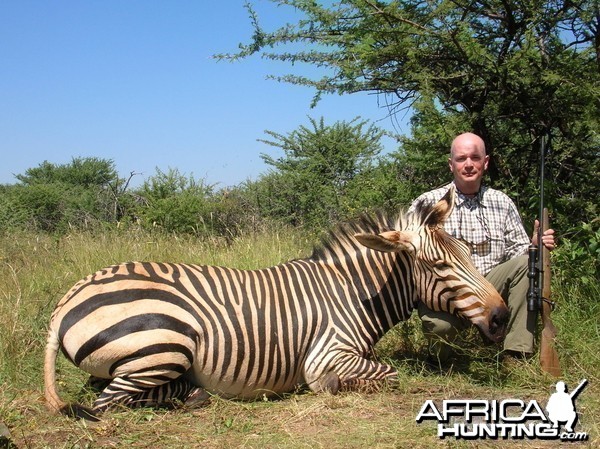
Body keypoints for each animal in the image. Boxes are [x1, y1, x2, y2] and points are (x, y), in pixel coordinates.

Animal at [44, 185, 508, 416]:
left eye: (469, 253)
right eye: (439, 266)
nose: (502, 316)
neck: (352, 294)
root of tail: (68, 298)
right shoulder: (327, 354)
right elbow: (386, 375)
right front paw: (330, 388)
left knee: (108, 389)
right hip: (164, 344)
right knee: (110, 402)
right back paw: (193, 394)